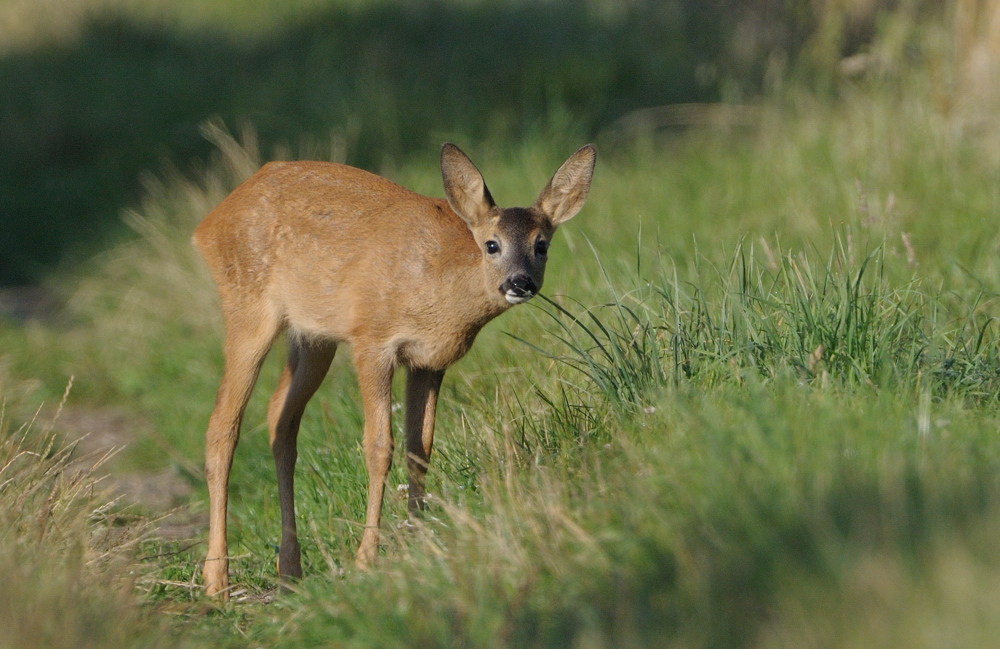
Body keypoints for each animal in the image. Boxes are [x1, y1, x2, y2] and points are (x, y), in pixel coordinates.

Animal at [193, 142, 592, 596]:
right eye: (492, 245)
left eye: (541, 244)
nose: (520, 282)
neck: (440, 282)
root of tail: (208, 223)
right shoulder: (372, 341)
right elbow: (378, 446)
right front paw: (367, 558)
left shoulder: (429, 361)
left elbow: (420, 447)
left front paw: (419, 538)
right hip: (248, 308)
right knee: (222, 428)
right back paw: (216, 579)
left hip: (313, 337)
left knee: (280, 419)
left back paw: (290, 569)